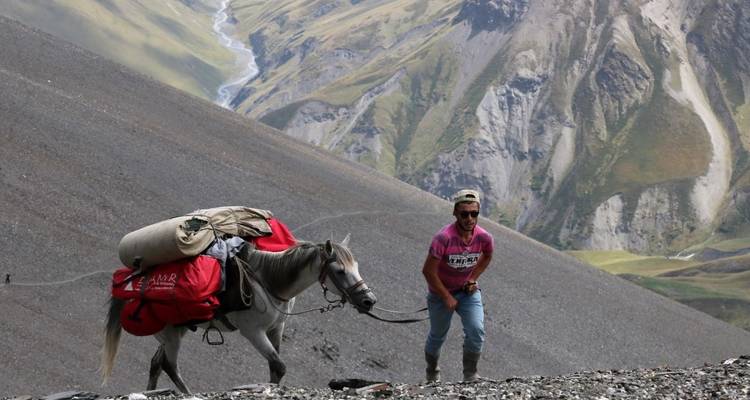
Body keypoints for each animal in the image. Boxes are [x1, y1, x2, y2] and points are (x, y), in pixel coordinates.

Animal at [101, 237, 377, 393]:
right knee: (169, 365)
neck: (271, 281)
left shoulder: (276, 329)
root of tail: (130, 282)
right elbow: (279, 365)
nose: (368, 300)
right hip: (170, 333)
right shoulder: (253, 332)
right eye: (340, 271)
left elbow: (276, 367)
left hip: (177, 329)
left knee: (157, 363)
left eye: (356, 266)